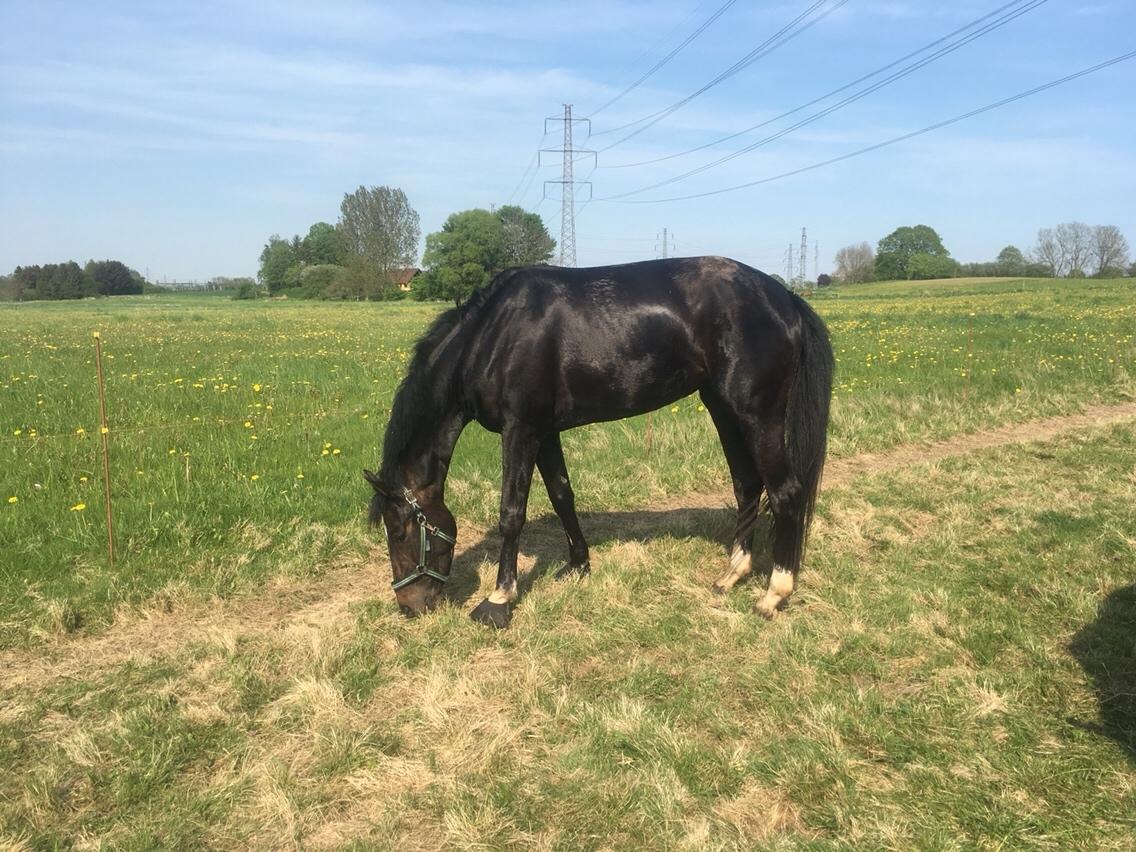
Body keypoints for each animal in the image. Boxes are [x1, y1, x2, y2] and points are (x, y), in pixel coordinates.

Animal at [363, 256, 836, 631]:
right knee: (746, 485)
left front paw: (498, 600)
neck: (494, 335)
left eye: (400, 530)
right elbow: (561, 495)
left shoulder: (521, 430)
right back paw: (732, 574)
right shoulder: (544, 432)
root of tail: (785, 298)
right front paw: (578, 564)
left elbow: (511, 512)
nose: (409, 606)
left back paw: (774, 593)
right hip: (722, 408)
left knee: (785, 492)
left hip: (758, 414)